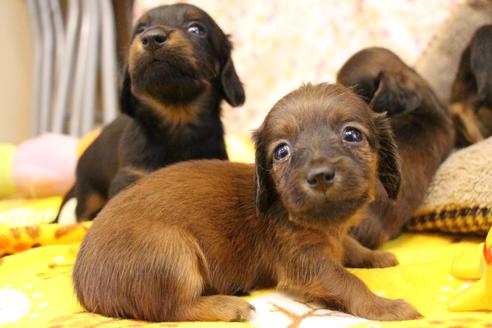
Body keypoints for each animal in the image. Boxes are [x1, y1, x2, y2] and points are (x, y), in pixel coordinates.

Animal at [75, 83, 420, 322]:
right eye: (282, 152)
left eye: (352, 135)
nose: (320, 176)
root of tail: (84, 286)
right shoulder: (308, 264)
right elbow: (349, 283)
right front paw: (384, 305)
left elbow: (350, 245)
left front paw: (374, 256)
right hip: (171, 251)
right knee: (173, 309)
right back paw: (227, 305)